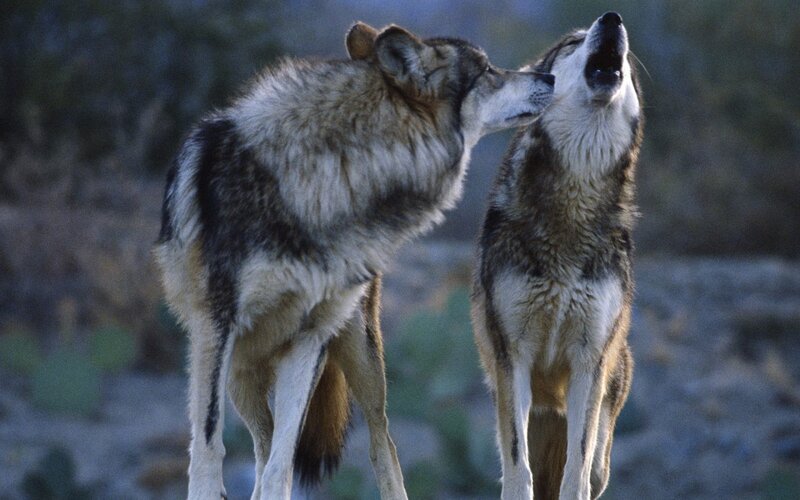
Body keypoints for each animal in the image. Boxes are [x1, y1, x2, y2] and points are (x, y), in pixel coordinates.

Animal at [154, 20, 554, 500]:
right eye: (489, 71)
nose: (549, 76)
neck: (335, 174)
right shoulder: (217, 328)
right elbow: (211, 446)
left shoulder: (308, 337)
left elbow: (282, 465)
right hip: (239, 371)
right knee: (260, 446)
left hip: (360, 357)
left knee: (380, 447)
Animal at [471, 12, 643, 500]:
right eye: (572, 43)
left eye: (628, 56)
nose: (612, 18)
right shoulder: (513, 356)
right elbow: (517, 465)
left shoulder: (590, 360)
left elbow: (577, 464)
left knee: (593, 467)